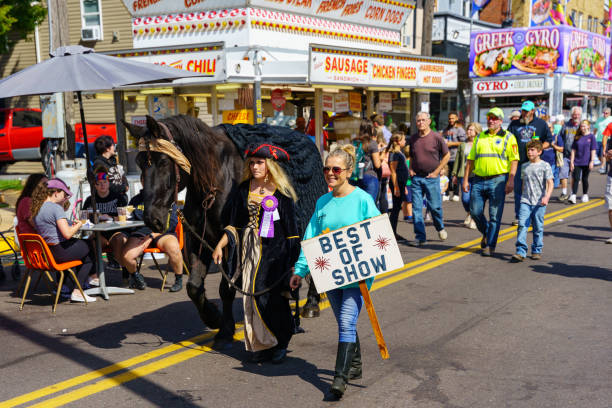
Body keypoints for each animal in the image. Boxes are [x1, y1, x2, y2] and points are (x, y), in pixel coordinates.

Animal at [122, 115, 328, 348]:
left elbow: (226, 288)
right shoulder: (199, 240)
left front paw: (226, 329)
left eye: (164, 162)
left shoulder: (234, 241)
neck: (214, 179)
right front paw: (213, 317)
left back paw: (311, 303)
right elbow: (194, 286)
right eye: (139, 162)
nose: (152, 218)